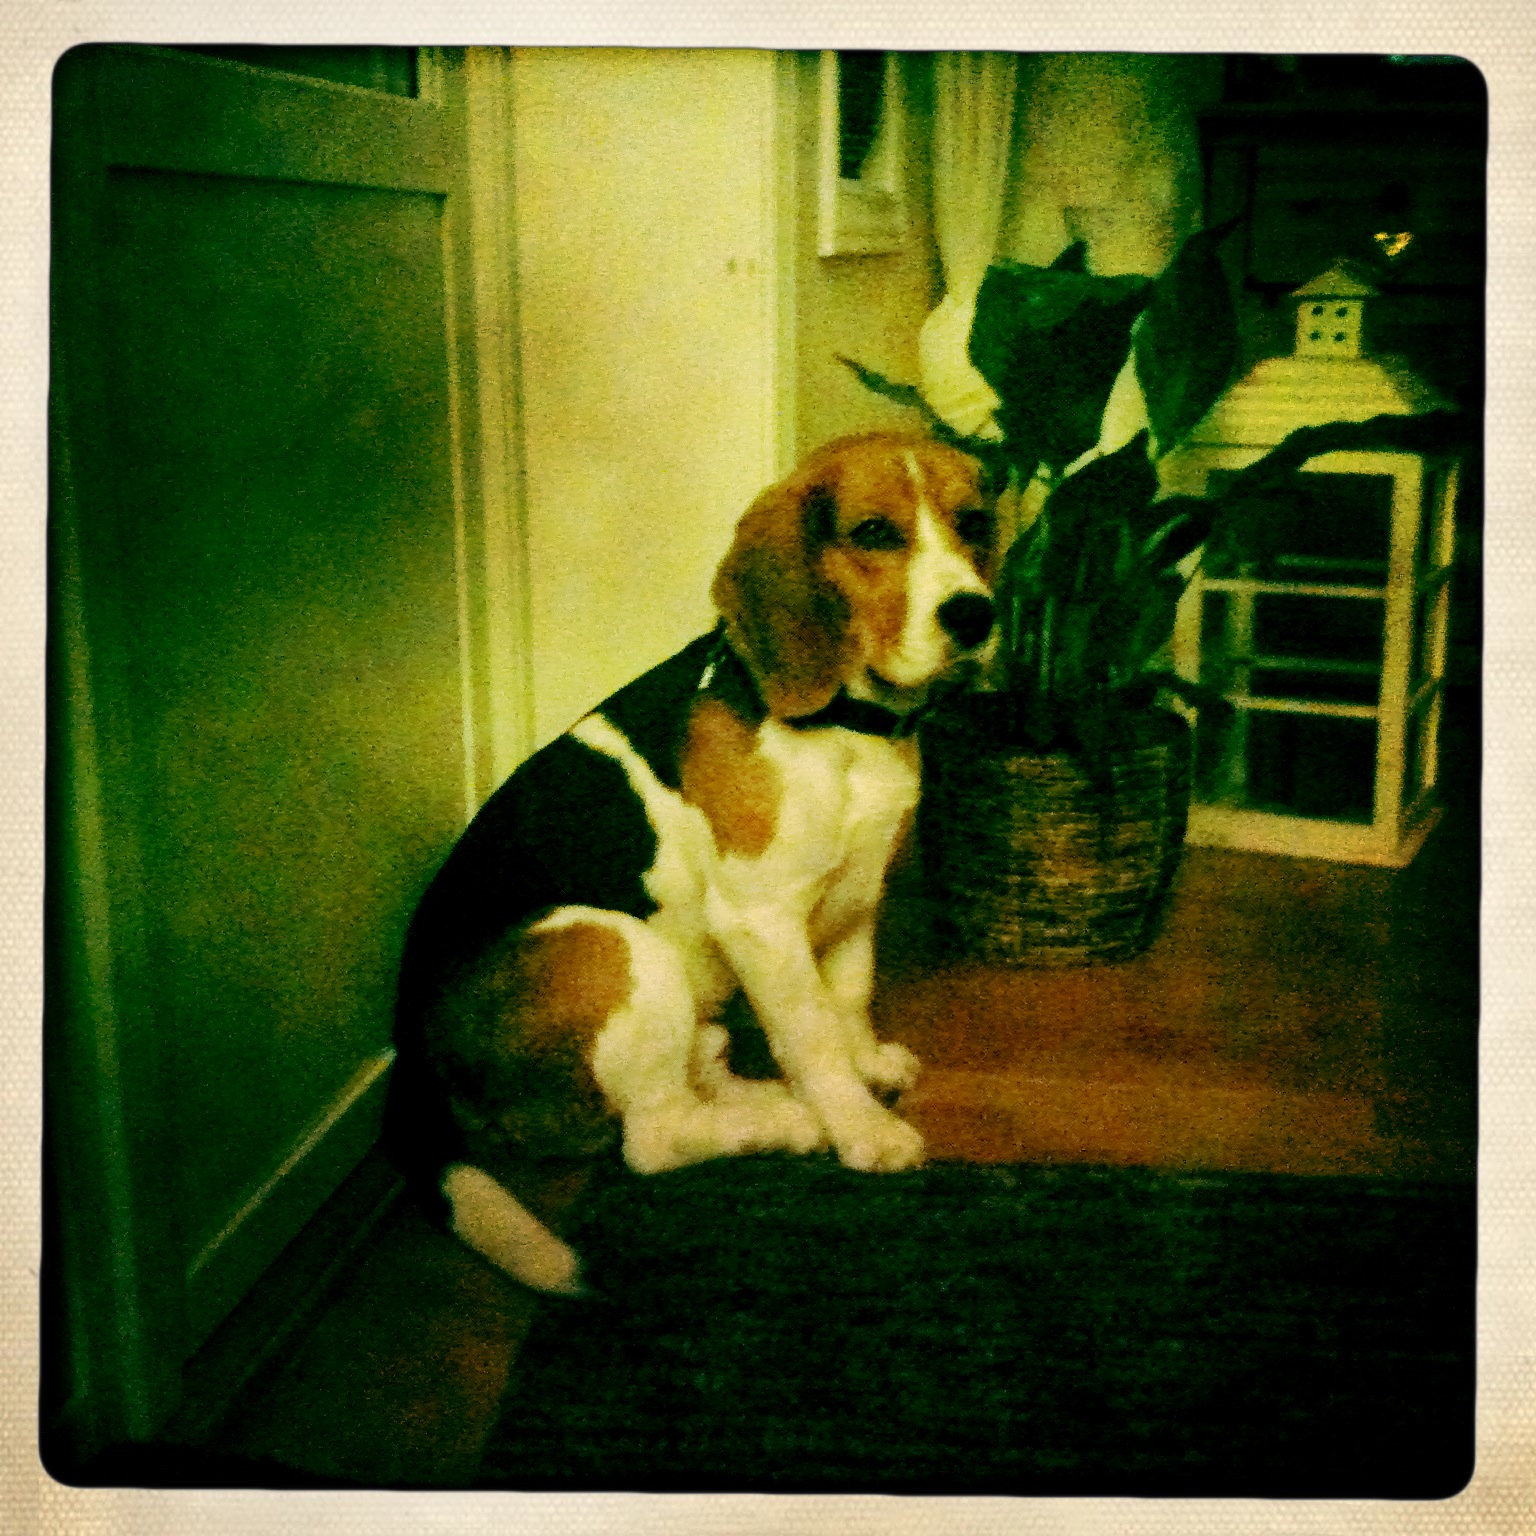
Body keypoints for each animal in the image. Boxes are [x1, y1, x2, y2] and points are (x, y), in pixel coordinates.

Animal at [386, 432, 999, 1294]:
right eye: (875, 533)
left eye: (973, 522)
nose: (975, 616)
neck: (848, 730)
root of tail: (412, 1059)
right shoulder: (762, 917)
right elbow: (813, 1033)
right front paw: (859, 1127)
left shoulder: (858, 890)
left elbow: (847, 1000)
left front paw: (867, 1065)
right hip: (605, 940)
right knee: (651, 1139)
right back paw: (788, 1121)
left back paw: (744, 1086)